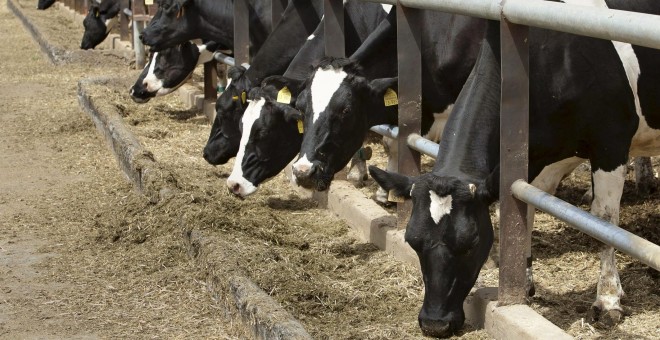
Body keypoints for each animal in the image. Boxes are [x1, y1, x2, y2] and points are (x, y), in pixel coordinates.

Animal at [372, 0, 660, 336]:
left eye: (471, 243)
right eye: (412, 241)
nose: (434, 323)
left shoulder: (611, 141)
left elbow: (604, 220)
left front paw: (608, 299)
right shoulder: (531, 154)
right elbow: (524, 210)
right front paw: (525, 282)